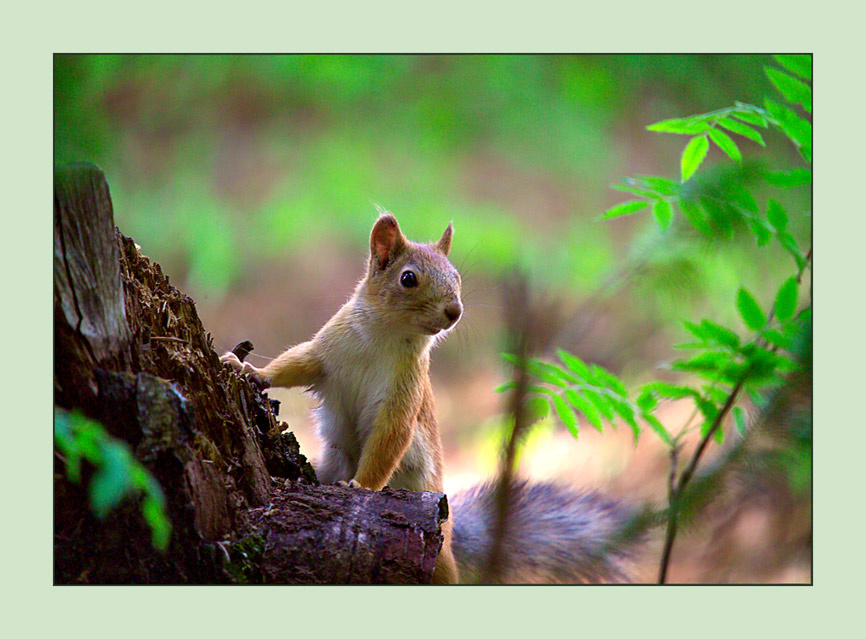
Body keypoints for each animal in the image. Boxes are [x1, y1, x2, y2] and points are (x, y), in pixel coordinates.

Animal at [220, 213, 637, 584]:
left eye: (457, 277)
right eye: (408, 278)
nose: (455, 311)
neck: (384, 336)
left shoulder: (406, 391)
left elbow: (391, 437)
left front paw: (362, 487)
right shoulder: (327, 353)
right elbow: (294, 365)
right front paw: (249, 370)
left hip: (438, 553)